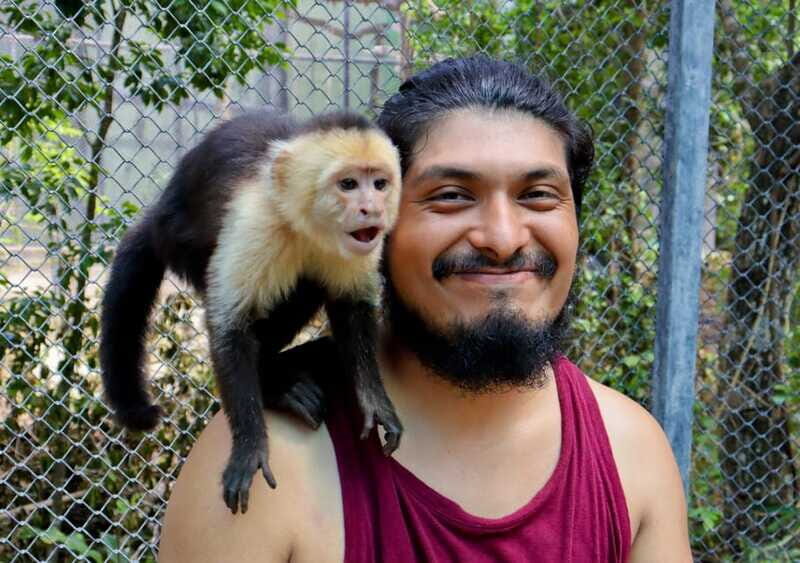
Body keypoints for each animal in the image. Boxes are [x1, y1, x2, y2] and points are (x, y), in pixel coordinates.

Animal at [100, 111, 403, 515]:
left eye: (380, 184)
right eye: (349, 184)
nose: (373, 208)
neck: (306, 226)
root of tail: (158, 217)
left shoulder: (359, 245)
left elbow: (352, 308)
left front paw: (375, 404)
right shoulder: (256, 222)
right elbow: (231, 329)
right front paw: (249, 448)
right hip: (180, 244)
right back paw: (275, 385)